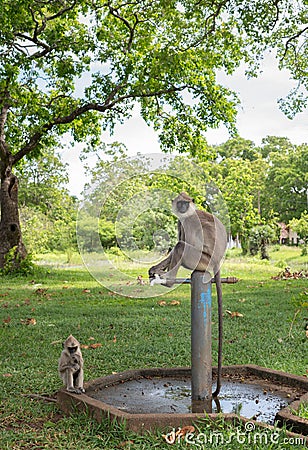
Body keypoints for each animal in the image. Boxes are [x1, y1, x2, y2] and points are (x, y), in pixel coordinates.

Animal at [148, 192, 227, 396]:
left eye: (186, 203)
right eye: (180, 203)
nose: (183, 208)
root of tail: (216, 262)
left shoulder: (187, 222)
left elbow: (183, 242)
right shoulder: (180, 221)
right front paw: (154, 269)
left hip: (200, 260)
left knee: (181, 246)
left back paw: (168, 281)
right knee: (179, 245)